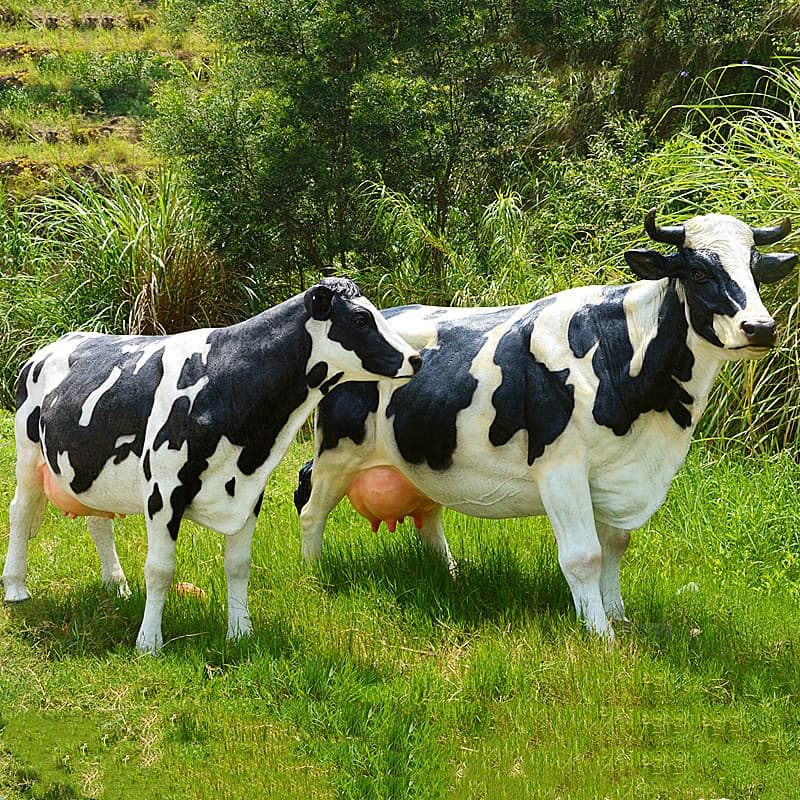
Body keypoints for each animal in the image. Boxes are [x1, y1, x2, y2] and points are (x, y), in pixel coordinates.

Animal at [2, 278, 421, 653]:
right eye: (361, 320)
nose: (415, 358)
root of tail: (50, 346)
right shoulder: (163, 489)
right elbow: (160, 568)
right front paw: (149, 643)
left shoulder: (250, 490)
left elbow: (238, 564)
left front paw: (241, 632)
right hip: (28, 453)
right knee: (20, 511)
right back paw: (16, 587)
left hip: (87, 463)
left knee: (97, 519)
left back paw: (116, 586)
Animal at [294, 211, 797, 641]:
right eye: (698, 272)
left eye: (755, 269)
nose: (760, 327)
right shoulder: (561, 466)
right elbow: (584, 556)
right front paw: (599, 634)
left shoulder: (616, 472)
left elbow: (615, 545)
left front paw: (617, 616)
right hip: (337, 448)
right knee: (310, 506)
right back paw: (315, 574)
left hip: (419, 451)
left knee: (428, 513)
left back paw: (450, 574)